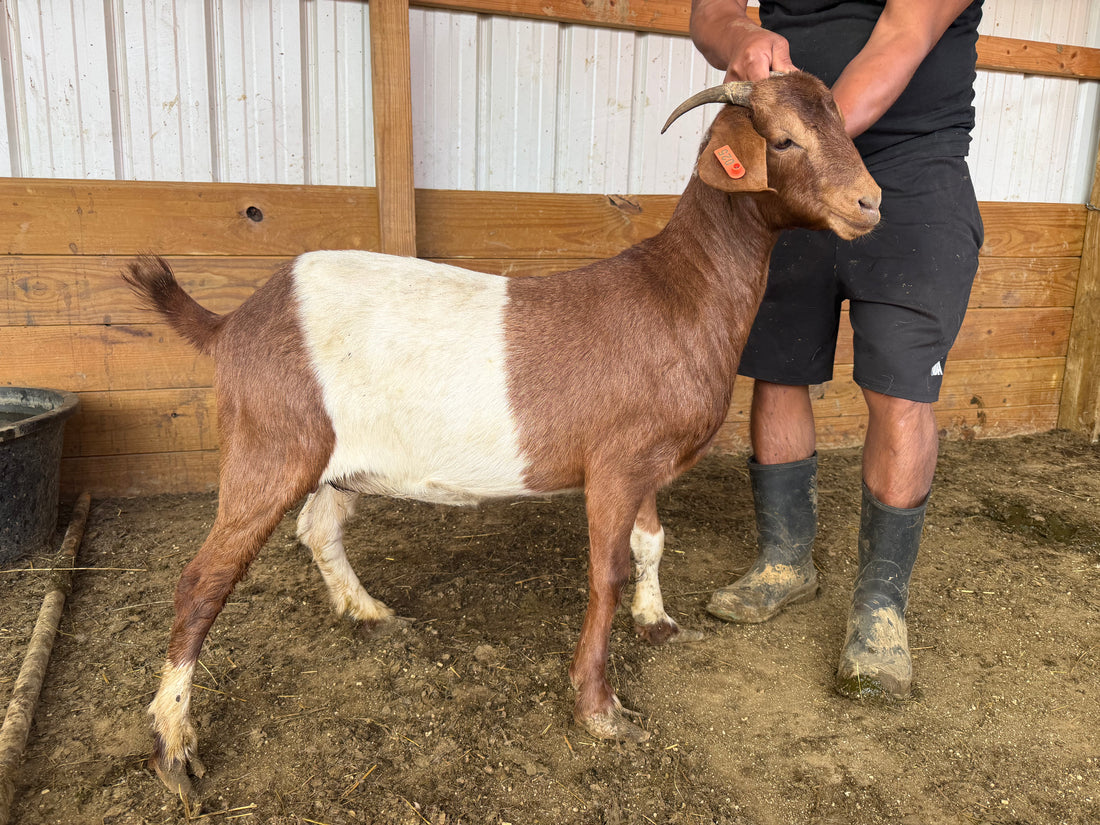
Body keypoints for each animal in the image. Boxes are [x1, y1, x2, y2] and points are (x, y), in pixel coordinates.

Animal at [125, 71, 880, 799]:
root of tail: (232, 322)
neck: (679, 293)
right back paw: (175, 748)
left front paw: (658, 622)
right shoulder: (615, 464)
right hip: (270, 442)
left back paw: (368, 610)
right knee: (203, 579)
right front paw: (600, 708)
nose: (870, 203)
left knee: (318, 528)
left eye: (844, 126)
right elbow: (606, 571)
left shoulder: (647, 461)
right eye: (783, 140)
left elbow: (652, 543)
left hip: (336, 460)